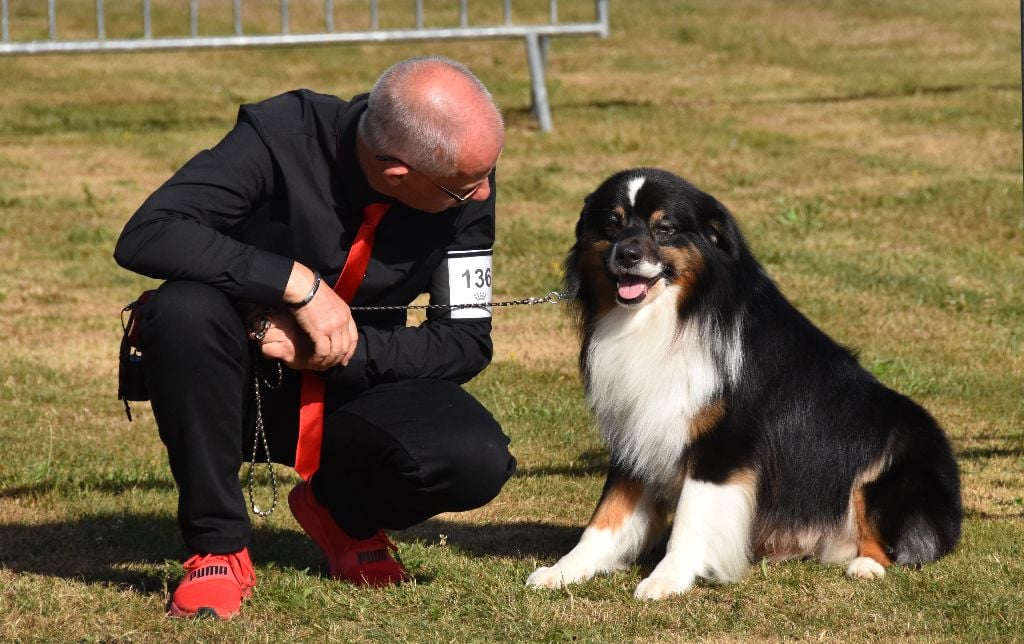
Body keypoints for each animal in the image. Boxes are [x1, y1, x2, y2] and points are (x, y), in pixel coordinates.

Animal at [528, 167, 958, 602]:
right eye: (611, 224)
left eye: (665, 228)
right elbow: (607, 514)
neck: (674, 317)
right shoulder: (636, 430)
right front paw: (564, 570)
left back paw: (866, 564)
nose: (627, 255)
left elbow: (691, 517)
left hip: (896, 455)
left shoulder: (723, 443)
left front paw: (668, 578)